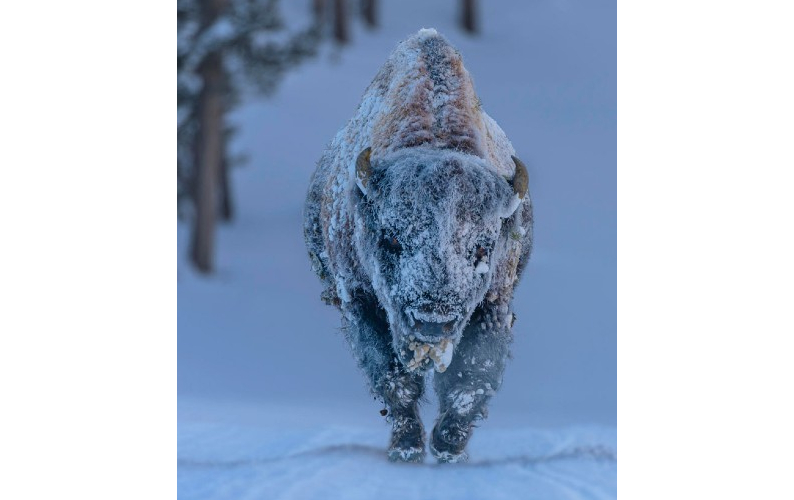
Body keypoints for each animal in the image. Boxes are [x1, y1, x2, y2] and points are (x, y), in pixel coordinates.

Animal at [304, 29, 532, 462]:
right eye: (392, 238)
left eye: (482, 247)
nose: (432, 321)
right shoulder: (360, 300)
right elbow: (393, 380)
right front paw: (407, 447)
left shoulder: (493, 304)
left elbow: (469, 379)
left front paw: (448, 448)